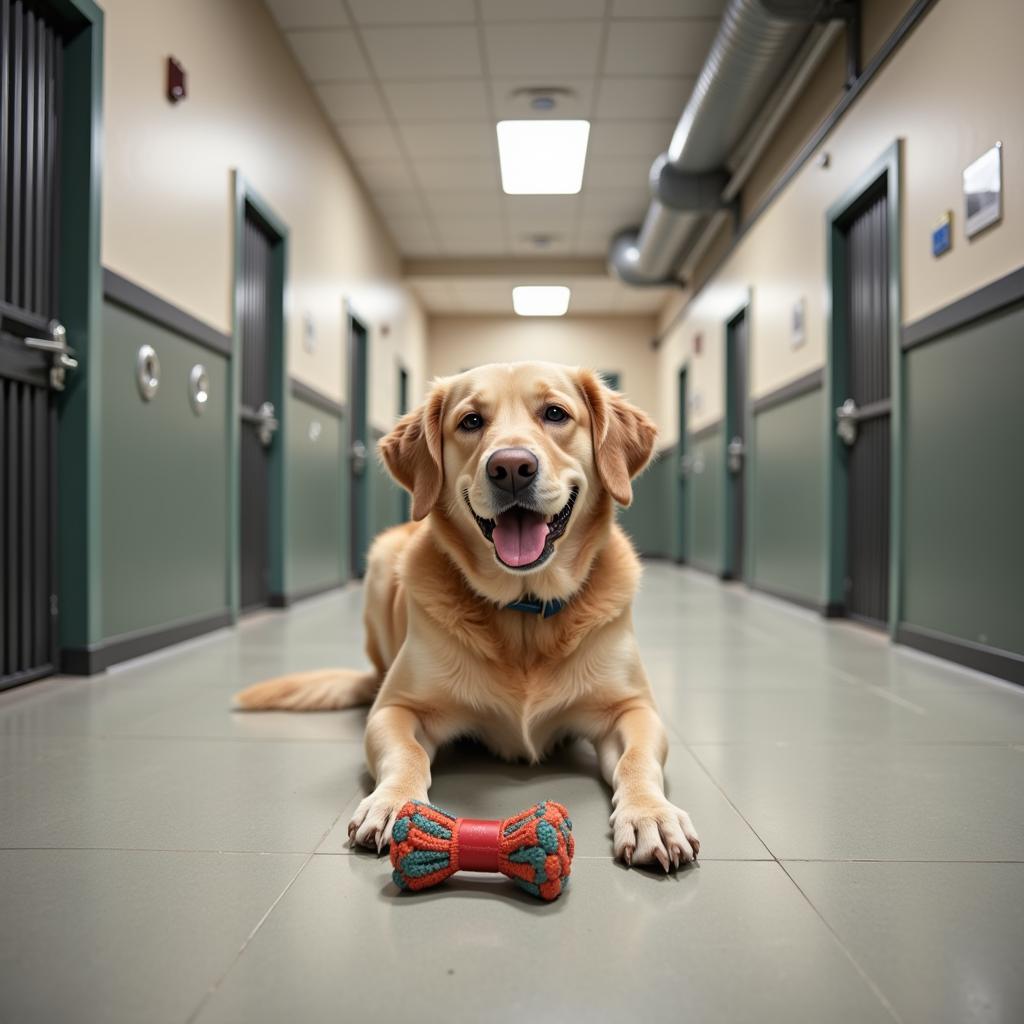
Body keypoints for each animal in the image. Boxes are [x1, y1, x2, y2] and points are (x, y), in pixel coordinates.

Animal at [235, 364, 700, 868]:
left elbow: (638, 760)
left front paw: (652, 813)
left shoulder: (632, 708)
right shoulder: (396, 708)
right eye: (471, 421)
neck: (523, 611)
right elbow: (407, 754)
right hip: (381, 563)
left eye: (555, 413)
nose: (511, 468)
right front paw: (394, 802)